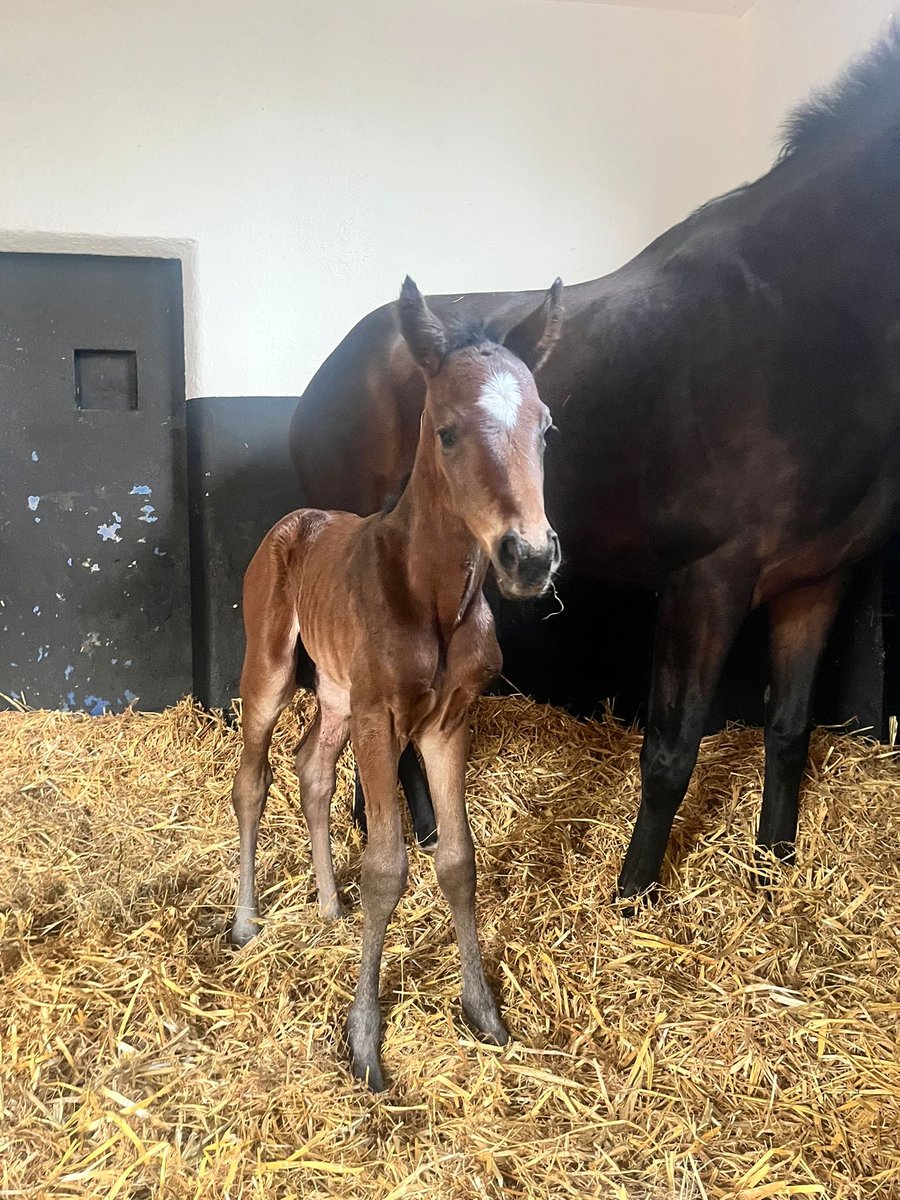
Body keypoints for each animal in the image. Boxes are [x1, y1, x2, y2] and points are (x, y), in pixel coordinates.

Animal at [229, 276, 563, 1089]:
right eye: (446, 430)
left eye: (546, 428)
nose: (530, 557)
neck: (433, 599)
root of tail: (295, 520)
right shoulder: (384, 718)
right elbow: (386, 866)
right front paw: (363, 1040)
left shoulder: (446, 722)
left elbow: (458, 860)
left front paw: (483, 1013)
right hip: (273, 670)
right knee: (253, 777)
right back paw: (247, 921)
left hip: (337, 694)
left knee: (311, 768)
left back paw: (327, 907)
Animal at [288, 30, 900, 906]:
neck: (802, 326)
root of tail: (322, 380)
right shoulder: (705, 581)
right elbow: (672, 750)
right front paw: (636, 892)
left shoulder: (817, 585)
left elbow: (788, 732)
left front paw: (774, 868)